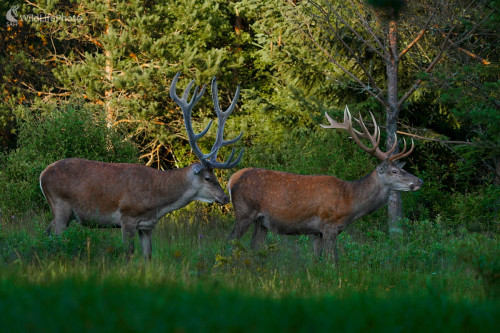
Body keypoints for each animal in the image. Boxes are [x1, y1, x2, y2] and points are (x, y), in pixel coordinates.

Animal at [38, 72, 242, 260]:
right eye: (207, 178)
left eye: (214, 176)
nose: (225, 198)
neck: (157, 200)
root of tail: (42, 174)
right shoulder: (127, 216)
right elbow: (128, 252)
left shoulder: (147, 226)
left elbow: (147, 255)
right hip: (60, 205)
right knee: (55, 237)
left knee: (46, 233)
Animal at [228, 105, 422, 264]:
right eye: (394, 171)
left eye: (400, 168)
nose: (419, 180)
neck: (350, 201)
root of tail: (232, 179)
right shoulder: (329, 225)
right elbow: (333, 260)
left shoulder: (317, 231)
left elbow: (317, 259)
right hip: (244, 211)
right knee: (231, 240)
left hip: (261, 221)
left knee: (254, 246)